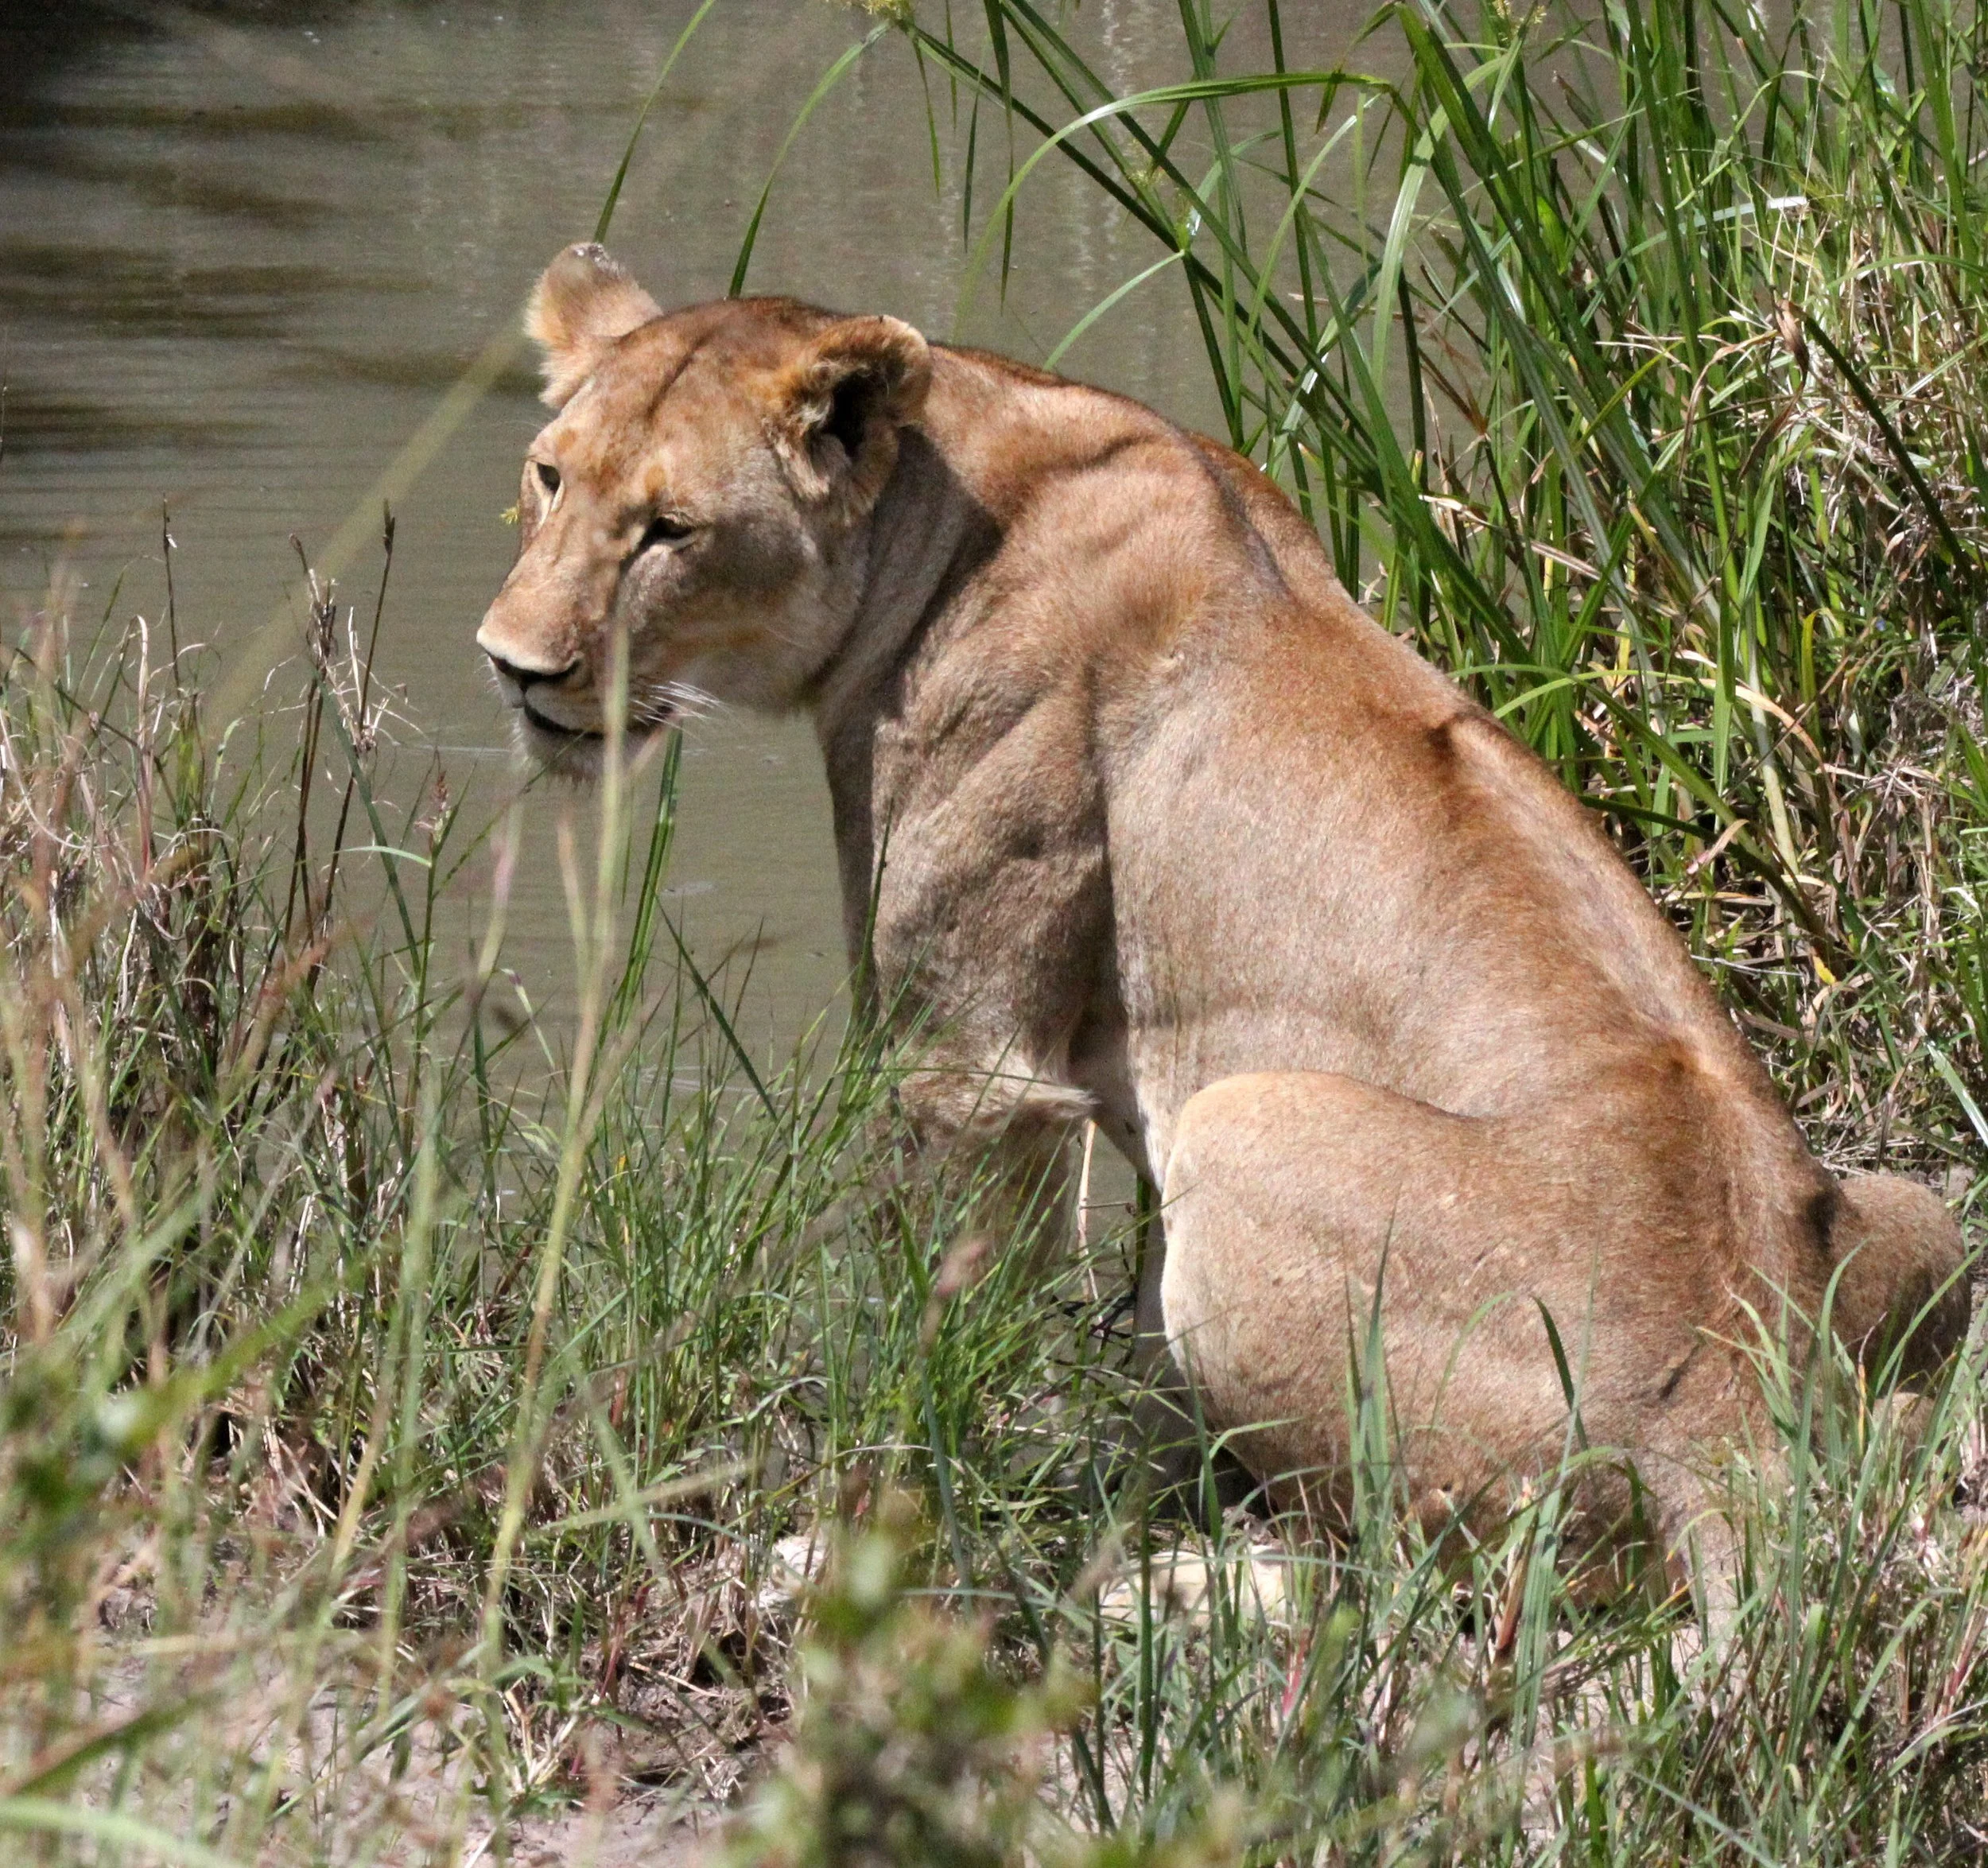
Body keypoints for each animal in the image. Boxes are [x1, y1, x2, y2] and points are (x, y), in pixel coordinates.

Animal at [477, 242, 1969, 1564]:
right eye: (548, 476)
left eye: (670, 531)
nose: (512, 666)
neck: (953, 480)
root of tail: (1731, 1414)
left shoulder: (966, 1061)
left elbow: (940, 1310)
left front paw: (899, 1477)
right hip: (1920, 1215)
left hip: (1245, 1123)